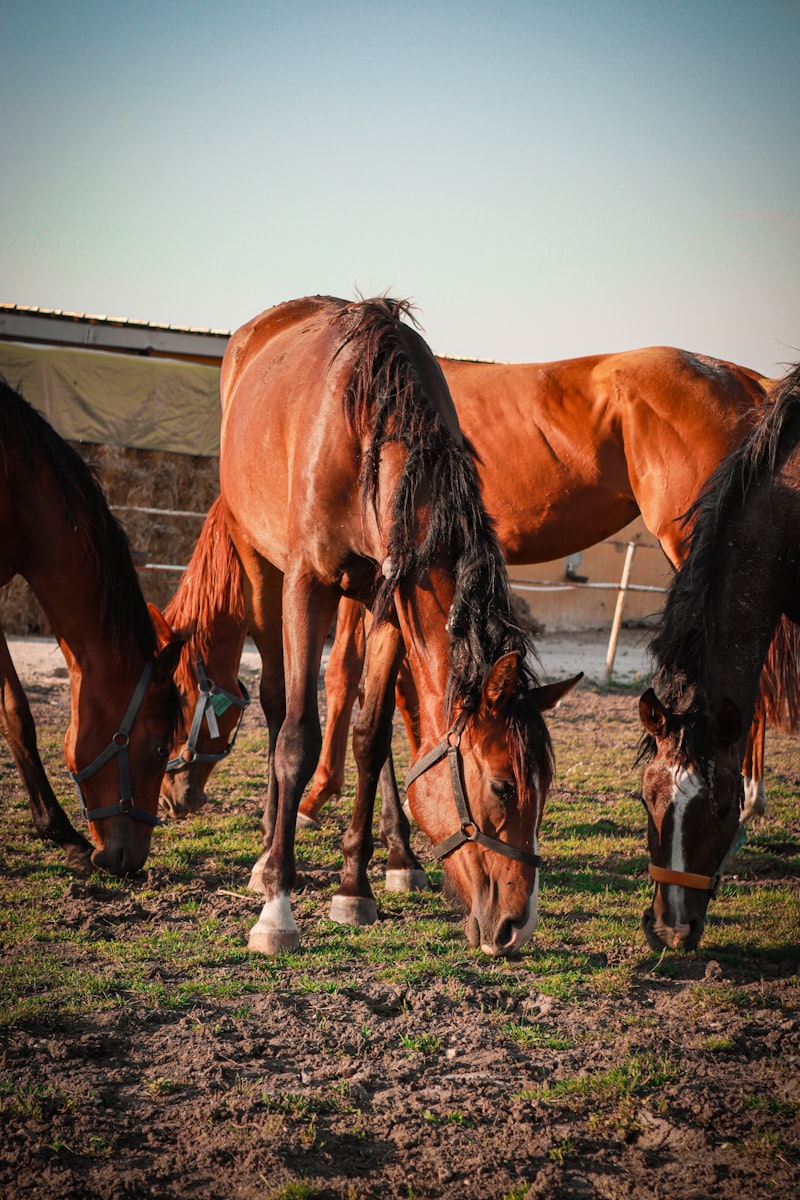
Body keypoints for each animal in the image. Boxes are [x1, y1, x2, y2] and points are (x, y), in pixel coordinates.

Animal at [215, 297, 578, 955]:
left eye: (544, 789)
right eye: (503, 787)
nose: (517, 926)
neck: (370, 431)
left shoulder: (389, 600)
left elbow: (371, 736)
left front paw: (354, 889)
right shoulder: (306, 583)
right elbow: (298, 739)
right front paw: (278, 909)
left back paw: (396, 858)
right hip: (259, 563)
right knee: (279, 706)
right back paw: (267, 853)